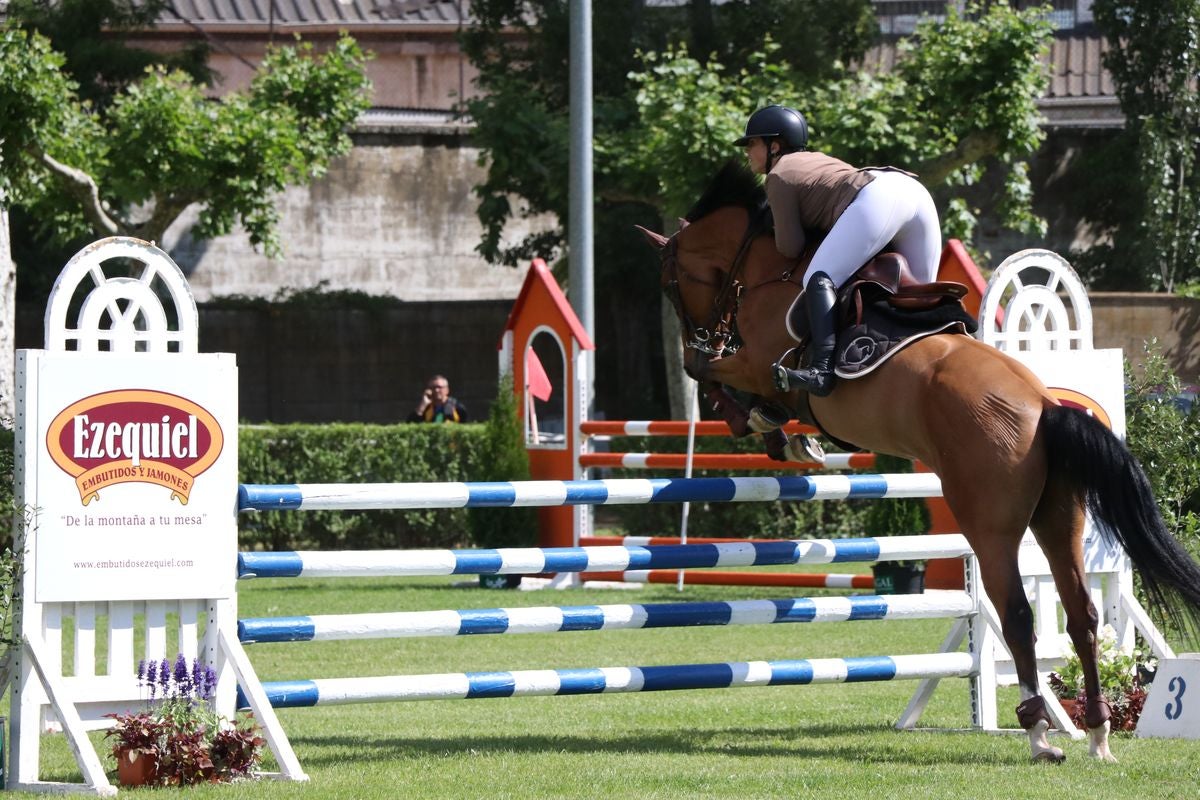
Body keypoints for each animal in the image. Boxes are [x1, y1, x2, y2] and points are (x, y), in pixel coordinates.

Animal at [643, 163, 1200, 762]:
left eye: (671, 284)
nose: (705, 331)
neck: (768, 270)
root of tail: (1045, 406)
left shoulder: (755, 363)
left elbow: (705, 372)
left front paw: (763, 425)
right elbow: (717, 379)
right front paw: (782, 436)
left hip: (989, 524)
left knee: (1018, 613)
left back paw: (1038, 732)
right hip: (1060, 517)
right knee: (1081, 614)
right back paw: (1097, 733)